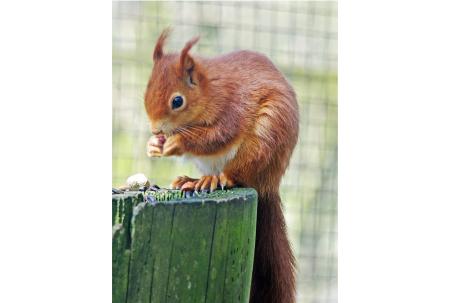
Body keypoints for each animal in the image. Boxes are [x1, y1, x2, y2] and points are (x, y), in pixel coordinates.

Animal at [144, 29, 298, 303]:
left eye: (177, 101)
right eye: (147, 90)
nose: (156, 129)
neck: (208, 91)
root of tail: (269, 183)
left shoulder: (232, 107)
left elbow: (217, 136)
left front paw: (178, 142)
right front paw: (154, 145)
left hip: (263, 143)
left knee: (238, 174)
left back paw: (217, 180)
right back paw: (191, 180)